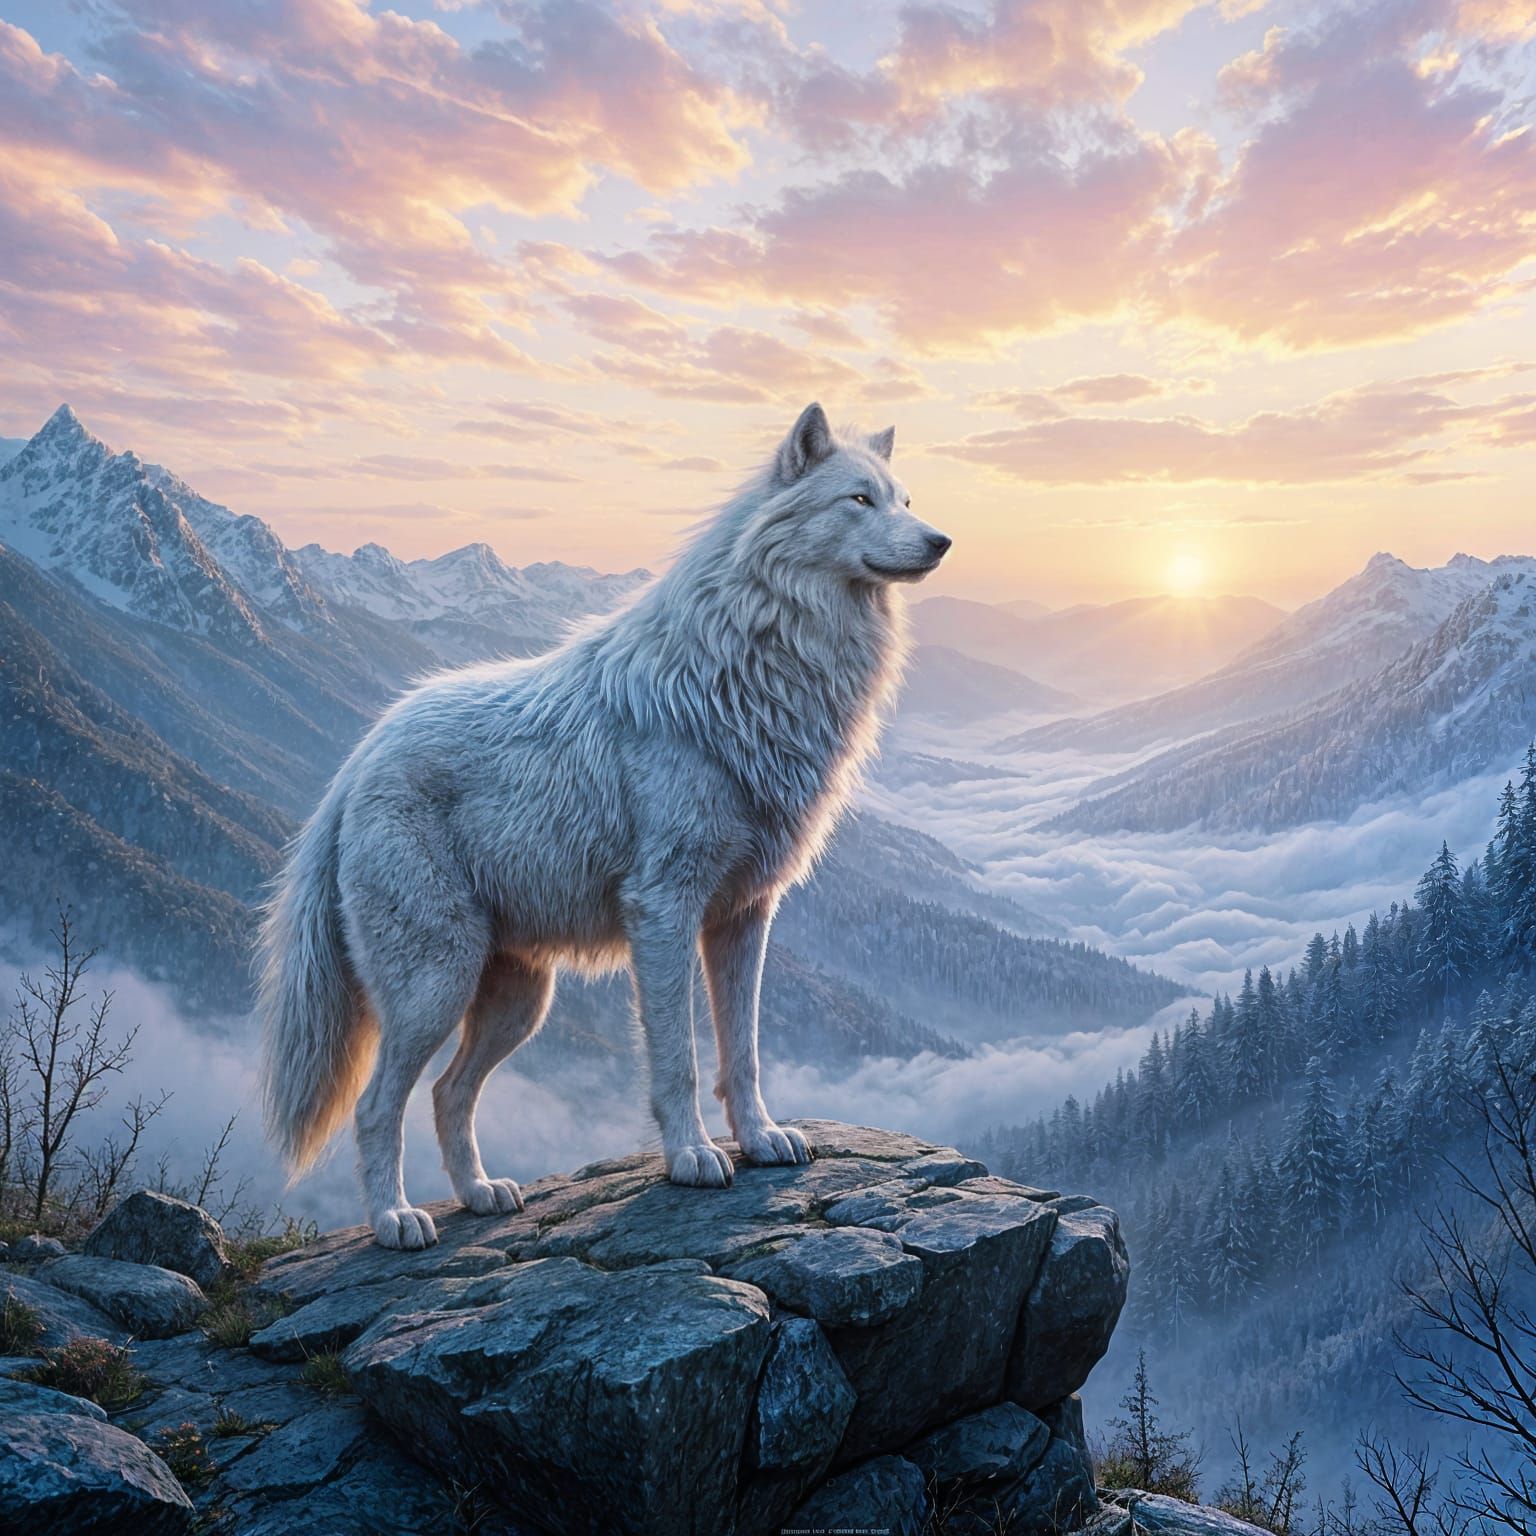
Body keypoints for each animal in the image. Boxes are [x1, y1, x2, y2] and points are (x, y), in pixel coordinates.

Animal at [257, 403, 951, 1247]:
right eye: (858, 500)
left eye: (907, 501)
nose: (942, 541)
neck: (757, 666)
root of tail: (355, 763)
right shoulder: (664, 910)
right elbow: (680, 1058)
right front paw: (691, 1157)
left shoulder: (746, 916)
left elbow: (745, 1052)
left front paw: (760, 1140)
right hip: (435, 986)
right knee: (376, 1104)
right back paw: (395, 1218)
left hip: (520, 1001)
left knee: (450, 1093)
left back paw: (481, 1194)